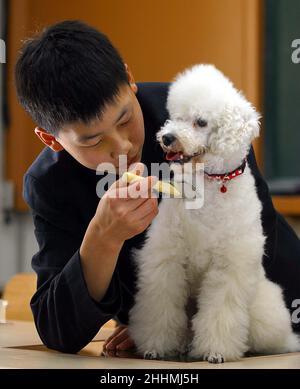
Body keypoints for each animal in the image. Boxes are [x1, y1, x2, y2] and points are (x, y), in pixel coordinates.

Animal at [127, 63, 298, 360]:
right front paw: (156, 346)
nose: (167, 138)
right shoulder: (167, 255)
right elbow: (160, 303)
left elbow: (221, 311)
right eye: (176, 117)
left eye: (201, 122)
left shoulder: (229, 265)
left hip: (264, 308)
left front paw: (215, 351)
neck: (211, 182)